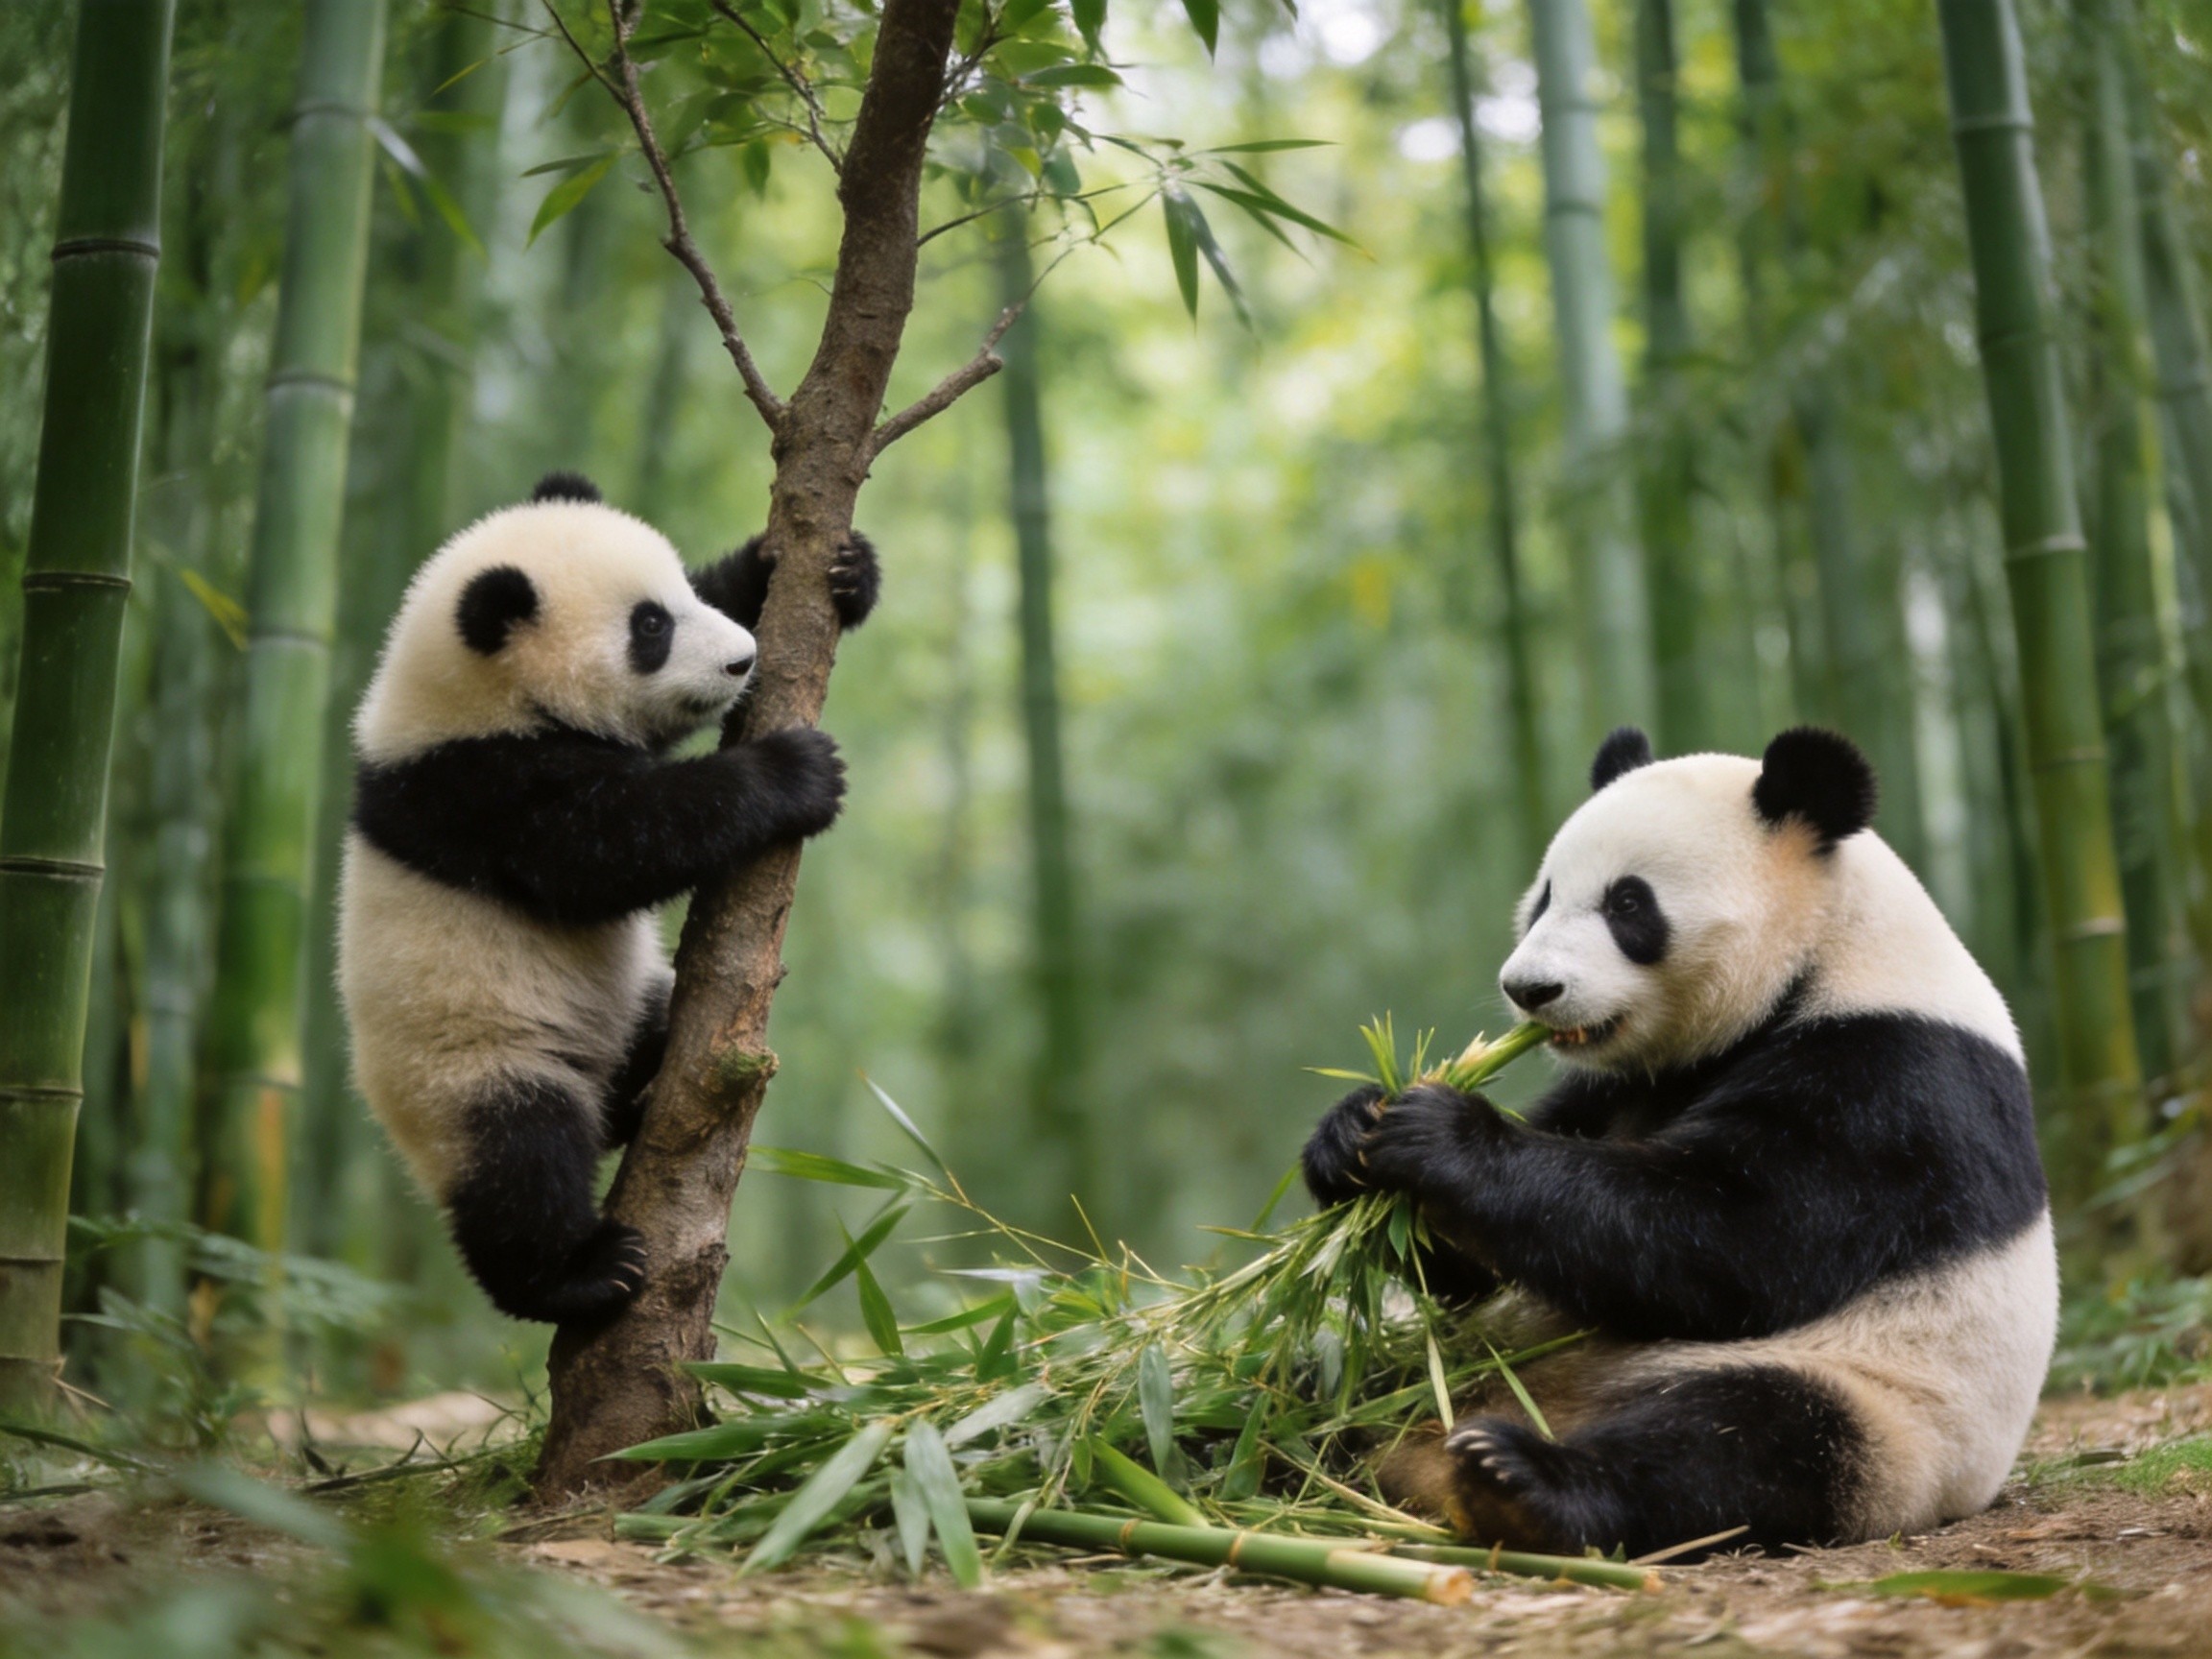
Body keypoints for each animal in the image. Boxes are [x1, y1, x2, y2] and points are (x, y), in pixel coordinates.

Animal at [337, 471, 879, 1324]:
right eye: (648, 628)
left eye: (683, 591)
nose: (744, 659)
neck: (465, 699)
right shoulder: (483, 792)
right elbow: (613, 848)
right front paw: (796, 774)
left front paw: (834, 568)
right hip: (468, 1066)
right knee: (521, 1160)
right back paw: (579, 1274)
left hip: (623, 1007)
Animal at [1302, 725, 2056, 1558]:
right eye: (1545, 896)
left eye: (1628, 903)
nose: (1530, 989)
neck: (1824, 951)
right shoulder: (1620, 1087)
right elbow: (1482, 1267)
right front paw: (1351, 1133)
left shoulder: (1893, 1080)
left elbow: (1733, 1242)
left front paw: (1441, 1132)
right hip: (1441, 1362)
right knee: (1332, 1379)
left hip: (1885, 1408)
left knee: (1742, 1441)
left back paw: (1519, 1482)